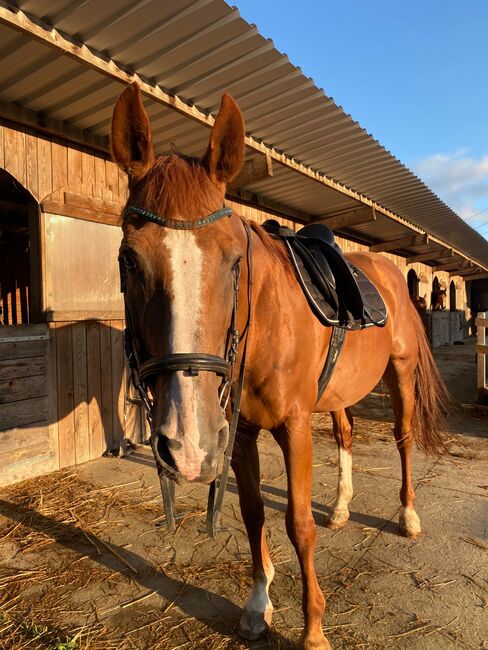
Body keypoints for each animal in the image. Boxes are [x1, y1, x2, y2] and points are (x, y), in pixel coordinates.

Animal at [112, 85, 448, 648]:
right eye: (128, 259)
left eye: (234, 261)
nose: (187, 445)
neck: (264, 325)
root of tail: (389, 270)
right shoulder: (240, 433)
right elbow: (252, 515)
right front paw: (257, 604)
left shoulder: (292, 426)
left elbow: (297, 523)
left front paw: (313, 629)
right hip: (336, 394)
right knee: (346, 433)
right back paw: (341, 507)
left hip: (399, 374)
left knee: (402, 438)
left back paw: (408, 515)